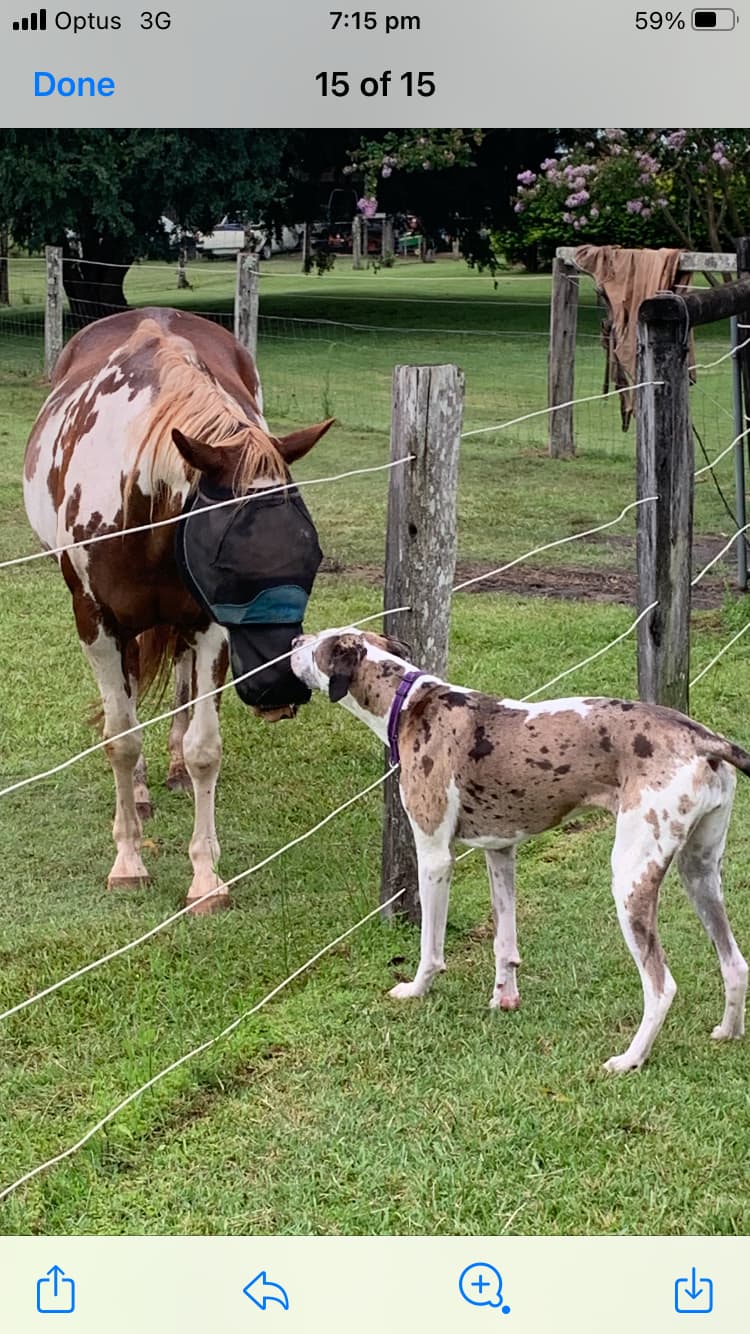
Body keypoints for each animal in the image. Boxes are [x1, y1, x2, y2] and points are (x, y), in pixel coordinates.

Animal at [22, 304, 329, 912]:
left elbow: (205, 745)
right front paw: (128, 861)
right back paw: (141, 790)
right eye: (227, 561)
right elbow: (120, 737)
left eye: (312, 556)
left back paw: (175, 768)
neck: (141, 506)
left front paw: (206, 878)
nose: (280, 689)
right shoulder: (97, 624)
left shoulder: (209, 624)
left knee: (182, 689)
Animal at [292, 626, 747, 1072]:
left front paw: (416, 989)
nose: (295, 642)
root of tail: (705, 739)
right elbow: (504, 943)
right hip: (699, 873)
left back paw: (630, 1059)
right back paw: (728, 1032)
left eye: (318, 644)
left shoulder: (435, 857)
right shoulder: (500, 851)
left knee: (661, 985)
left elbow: (430, 948)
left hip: (631, 879)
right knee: (735, 963)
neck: (409, 703)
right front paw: (504, 997)